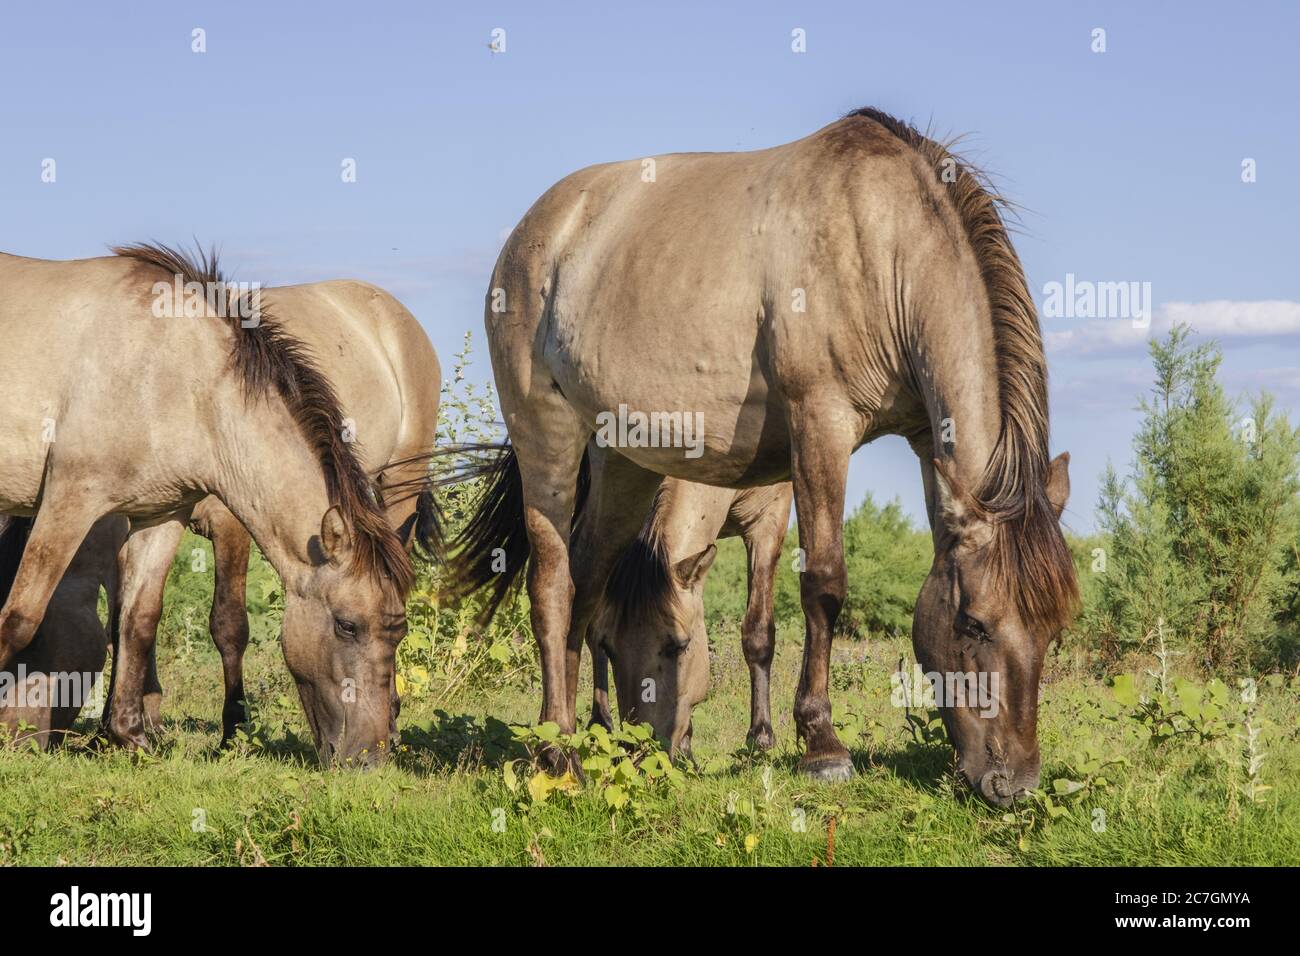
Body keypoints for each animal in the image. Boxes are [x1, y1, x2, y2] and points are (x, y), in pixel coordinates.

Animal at [0, 243, 418, 765]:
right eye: (346, 626)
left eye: (398, 633)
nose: (369, 758)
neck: (175, 375)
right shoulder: (70, 500)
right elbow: (20, 619)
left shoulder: (160, 515)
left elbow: (138, 621)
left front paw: (131, 736)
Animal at [588, 476, 791, 756]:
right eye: (609, 649)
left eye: (681, 646)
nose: (641, 748)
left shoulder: (769, 518)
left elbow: (757, 631)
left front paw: (761, 736)